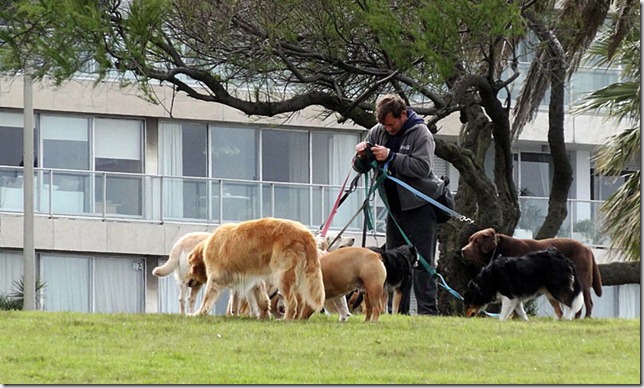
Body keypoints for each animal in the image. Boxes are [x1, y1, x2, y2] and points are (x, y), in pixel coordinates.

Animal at [184, 217, 324, 320]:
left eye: (190, 265)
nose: (185, 282)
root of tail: (305, 233)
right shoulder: (251, 278)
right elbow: (257, 300)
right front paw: (261, 316)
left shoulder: (215, 278)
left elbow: (207, 298)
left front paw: (198, 313)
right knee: (300, 302)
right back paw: (296, 319)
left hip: (282, 275)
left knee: (292, 303)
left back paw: (286, 319)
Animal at [460, 227, 600, 318]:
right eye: (469, 240)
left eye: (476, 242)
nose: (462, 250)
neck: (499, 248)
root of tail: (587, 248)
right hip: (552, 290)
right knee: (562, 309)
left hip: (577, 283)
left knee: (585, 303)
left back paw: (584, 317)